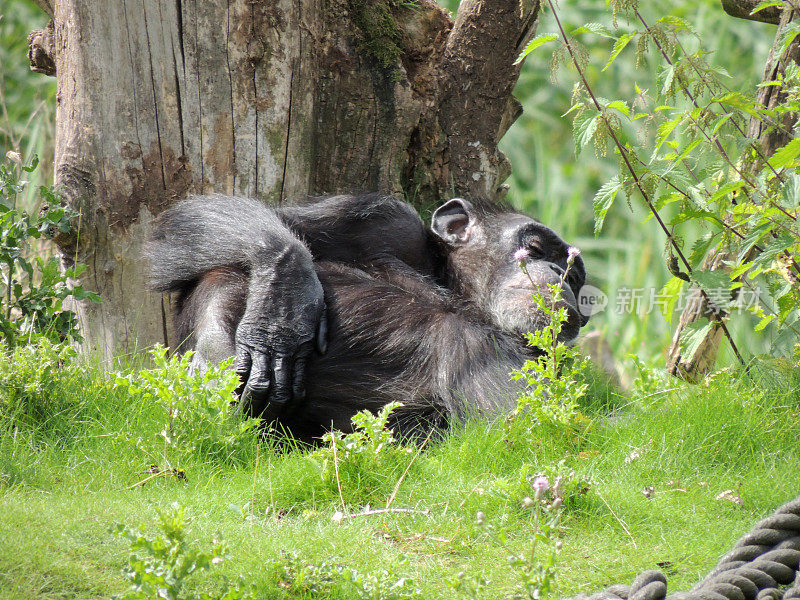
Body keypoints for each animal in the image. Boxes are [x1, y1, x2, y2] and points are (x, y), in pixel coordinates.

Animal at [148, 193, 588, 440]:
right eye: (534, 248)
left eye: (575, 277)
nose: (558, 272)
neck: (456, 288)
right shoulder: (384, 221)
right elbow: (274, 222)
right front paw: (282, 307)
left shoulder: (515, 358)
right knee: (218, 273)